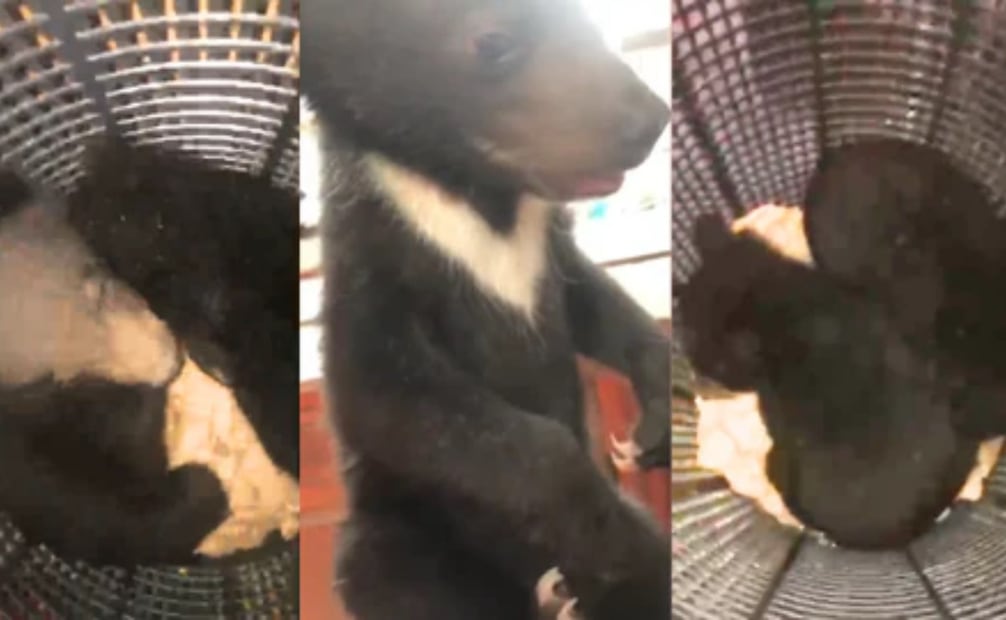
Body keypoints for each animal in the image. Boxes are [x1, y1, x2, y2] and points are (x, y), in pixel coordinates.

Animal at [303, 0, 671, 618]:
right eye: (493, 42)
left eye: (586, 20)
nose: (652, 119)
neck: (477, 195)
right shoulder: (377, 254)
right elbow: (383, 391)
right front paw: (608, 530)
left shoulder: (546, 247)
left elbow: (595, 303)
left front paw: (650, 429)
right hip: (406, 530)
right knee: (394, 574)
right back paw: (558, 593)